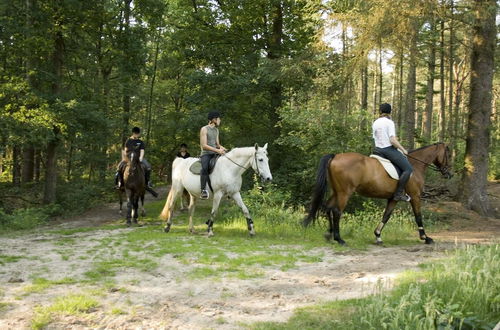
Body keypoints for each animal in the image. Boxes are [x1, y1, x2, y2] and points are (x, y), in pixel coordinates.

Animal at [304, 142, 454, 245]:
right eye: (448, 155)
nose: (449, 174)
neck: (416, 166)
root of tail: (335, 156)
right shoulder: (415, 196)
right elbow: (418, 216)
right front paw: (426, 238)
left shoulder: (393, 198)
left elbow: (386, 216)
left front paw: (378, 235)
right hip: (344, 193)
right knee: (336, 211)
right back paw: (339, 239)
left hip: (337, 191)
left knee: (328, 208)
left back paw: (329, 235)